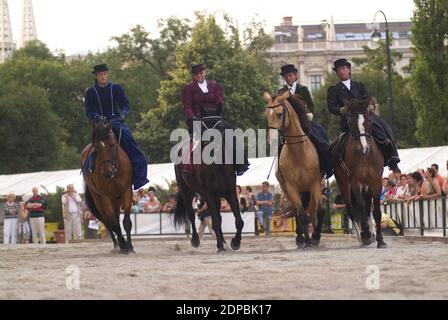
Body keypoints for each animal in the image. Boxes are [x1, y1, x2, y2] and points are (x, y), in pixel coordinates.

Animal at [80, 120, 134, 252]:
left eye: (112, 144)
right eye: (97, 147)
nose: (107, 173)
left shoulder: (126, 191)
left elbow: (126, 221)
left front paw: (129, 246)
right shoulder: (106, 196)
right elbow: (113, 223)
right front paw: (123, 244)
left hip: (117, 199)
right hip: (98, 199)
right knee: (107, 221)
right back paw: (117, 244)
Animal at [173, 116, 245, 254]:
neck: (217, 168)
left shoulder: (230, 193)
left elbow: (239, 221)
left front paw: (235, 242)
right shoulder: (209, 194)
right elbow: (215, 221)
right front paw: (221, 245)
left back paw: (223, 242)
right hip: (186, 191)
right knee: (191, 214)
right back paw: (196, 240)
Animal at [264, 90, 324, 248]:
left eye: (280, 114)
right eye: (266, 115)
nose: (272, 140)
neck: (298, 152)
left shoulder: (315, 184)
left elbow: (319, 210)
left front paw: (316, 237)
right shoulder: (291, 187)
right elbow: (301, 214)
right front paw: (306, 240)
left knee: (312, 210)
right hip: (289, 190)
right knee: (298, 211)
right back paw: (300, 238)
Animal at [334, 96, 386, 249]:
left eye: (368, 121)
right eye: (351, 122)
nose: (364, 148)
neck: (365, 156)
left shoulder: (376, 181)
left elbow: (376, 211)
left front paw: (380, 240)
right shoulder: (355, 182)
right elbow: (360, 206)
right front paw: (366, 234)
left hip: (367, 185)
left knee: (367, 206)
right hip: (344, 184)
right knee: (352, 208)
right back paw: (361, 236)